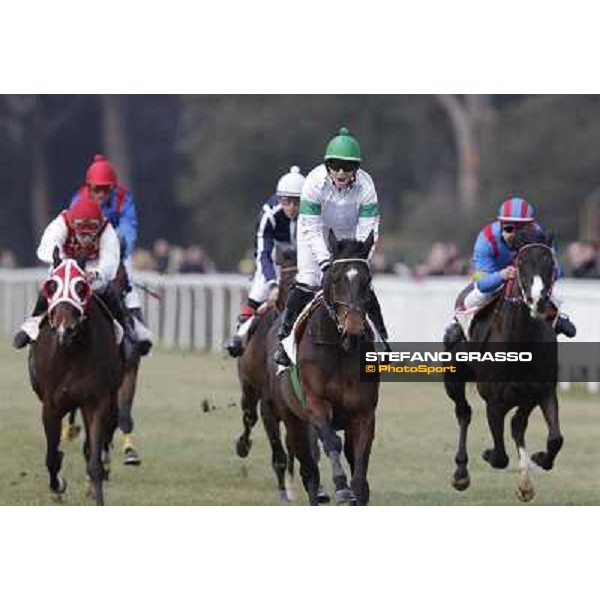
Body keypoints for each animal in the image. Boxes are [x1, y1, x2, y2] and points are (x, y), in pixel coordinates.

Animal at [28, 251, 123, 504]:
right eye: (52, 285)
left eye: (81, 287)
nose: (65, 329)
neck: (72, 352)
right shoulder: (51, 405)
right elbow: (52, 458)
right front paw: (58, 484)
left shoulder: (97, 401)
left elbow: (94, 461)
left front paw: (97, 494)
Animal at [276, 232, 380, 504]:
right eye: (335, 278)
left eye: (367, 280)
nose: (353, 327)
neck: (339, 349)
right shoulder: (316, 404)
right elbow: (331, 442)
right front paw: (342, 488)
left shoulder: (364, 414)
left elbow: (360, 464)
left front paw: (355, 491)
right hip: (293, 421)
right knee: (309, 470)